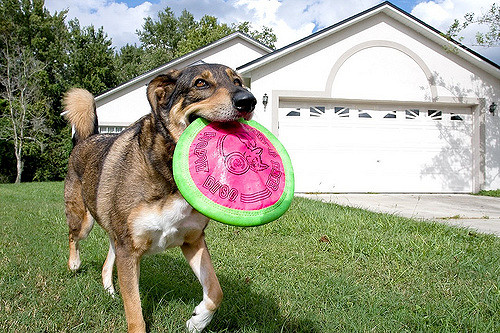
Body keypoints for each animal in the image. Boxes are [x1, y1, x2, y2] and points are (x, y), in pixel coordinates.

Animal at [62, 63, 256, 330]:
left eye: (237, 81)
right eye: (200, 83)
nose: (248, 101)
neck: (170, 173)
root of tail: (87, 138)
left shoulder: (193, 240)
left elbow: (216, 291)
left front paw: (197, 321)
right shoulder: (129, 250)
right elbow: (135, 312)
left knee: (107, 258)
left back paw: (110, 291)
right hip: (84, 220)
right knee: (74, 237)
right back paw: (74, 264)